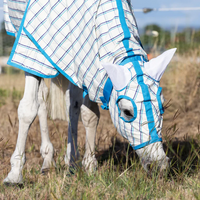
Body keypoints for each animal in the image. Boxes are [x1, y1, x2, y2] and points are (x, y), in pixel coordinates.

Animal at [2, 0, 175, 184]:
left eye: (162, 107)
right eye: (127, 112)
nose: (159, 166)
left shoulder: (87, 64)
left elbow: (89, 116)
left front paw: (90, 166)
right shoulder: (32, 50)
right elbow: (28, 109)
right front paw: (14, 175)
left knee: (71, 105)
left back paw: (71, 162)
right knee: (42, 99)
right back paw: (48, 161)